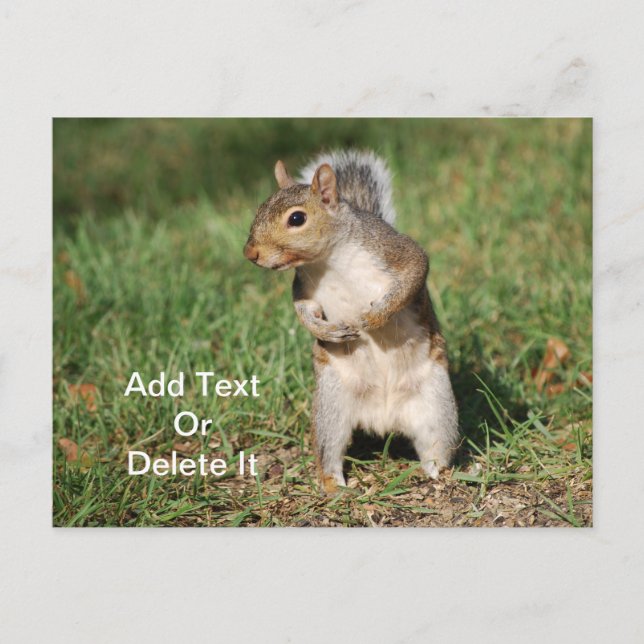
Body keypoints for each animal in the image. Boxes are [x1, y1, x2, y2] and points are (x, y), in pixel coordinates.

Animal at [244, 150, 459, 494]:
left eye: (296, 219)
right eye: (260, 209)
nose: (250, 252)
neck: (329, 261)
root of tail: (384, 418)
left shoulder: (392, 249)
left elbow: (415, 270)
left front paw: (373, 317)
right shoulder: (303, 288)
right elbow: (303, 311)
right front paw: (326, 330)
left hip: (437, 407)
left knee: (436, 446)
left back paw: (438, 475)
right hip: (331, 407)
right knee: (330, 450)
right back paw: (334, 486)